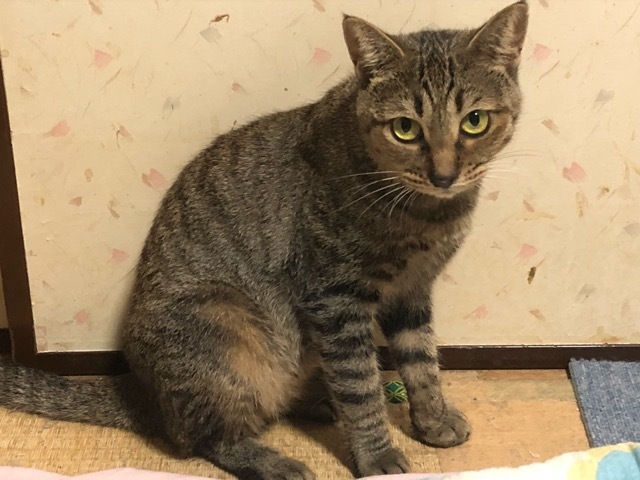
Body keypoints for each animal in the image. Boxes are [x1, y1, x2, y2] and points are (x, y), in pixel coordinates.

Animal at [0, 2, 528, 479]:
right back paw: (276, 461)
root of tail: (143, 395)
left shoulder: (411, 291)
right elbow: (361, 385)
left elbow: (421, 363)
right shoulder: (335, 298)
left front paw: (432, 419)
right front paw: (376, 454)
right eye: (405, 128)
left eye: (475, 121)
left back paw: (317, 402)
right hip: (225, 323)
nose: (444, 175)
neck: (426, 213)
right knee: (203, 437)